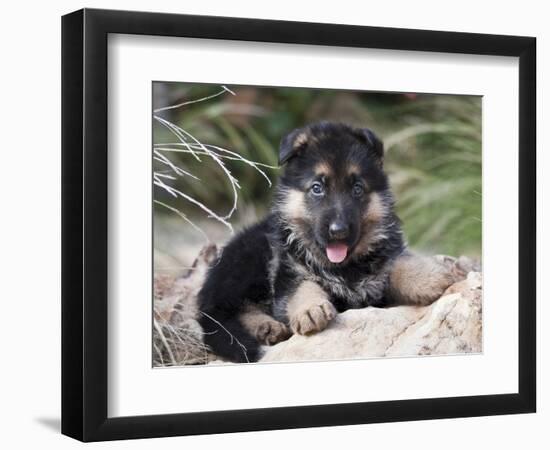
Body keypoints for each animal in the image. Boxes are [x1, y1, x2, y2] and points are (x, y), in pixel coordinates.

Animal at [198, 119, 462, 362]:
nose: (338, 231)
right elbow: (302, 287)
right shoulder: (287, 272)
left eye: (357, 188)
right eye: (317, 188)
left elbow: (397, 264)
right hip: (251, 258)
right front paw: (310, 309)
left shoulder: (380, 274)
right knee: (228, 311)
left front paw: (430, 277)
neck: (344, 267)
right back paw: (266, 326)